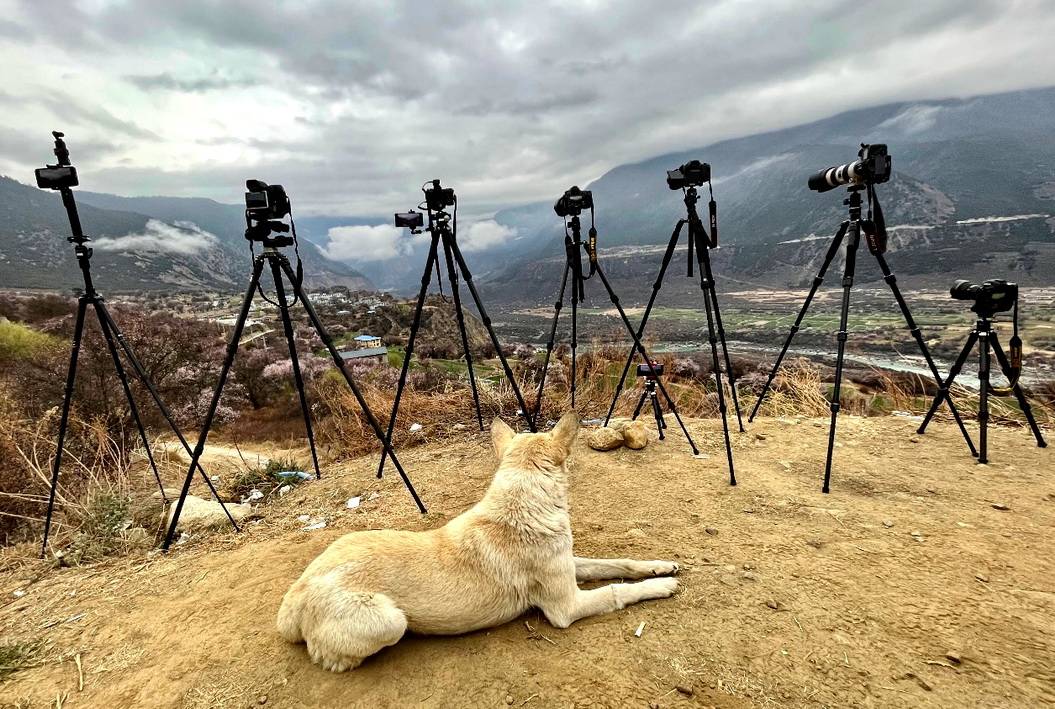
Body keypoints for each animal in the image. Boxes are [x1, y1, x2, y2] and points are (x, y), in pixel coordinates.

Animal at [276, 409, 679, 671]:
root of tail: (291, 601)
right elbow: (617, 591)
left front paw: (658, 566)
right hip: (390, 621)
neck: (522, 501)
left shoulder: (570, 563)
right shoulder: (566, 607)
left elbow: (616, 562)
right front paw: (661, 586)